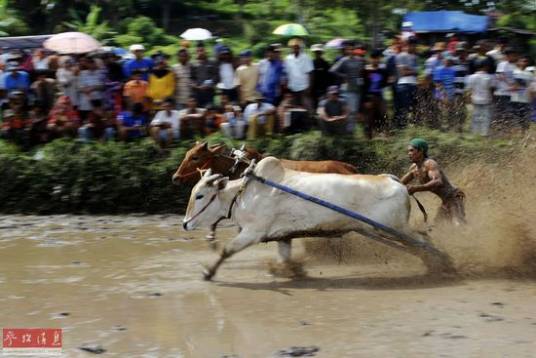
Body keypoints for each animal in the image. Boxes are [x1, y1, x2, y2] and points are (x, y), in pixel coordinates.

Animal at [184, 157, 414, 280]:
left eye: (200, 195)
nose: (185, 223)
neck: (243, 194)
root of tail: (393, 180)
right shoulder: (283, 237)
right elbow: (284, 258)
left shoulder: (252, 233)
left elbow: (226, 251)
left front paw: (208, 272)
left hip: (394, 230)